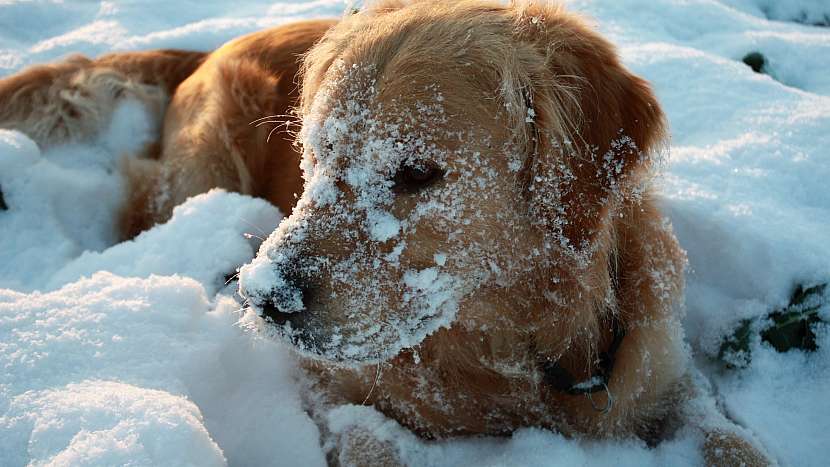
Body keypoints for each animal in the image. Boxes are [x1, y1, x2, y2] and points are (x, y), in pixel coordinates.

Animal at [3, 1, 772, 466]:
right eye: (314, 155)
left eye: (416, 172)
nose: (267, 300)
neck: (511, 345)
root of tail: (210, 45)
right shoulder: (321, 384)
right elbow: (375, 440)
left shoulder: (666, 375)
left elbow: (734, 438)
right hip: (202, 169)